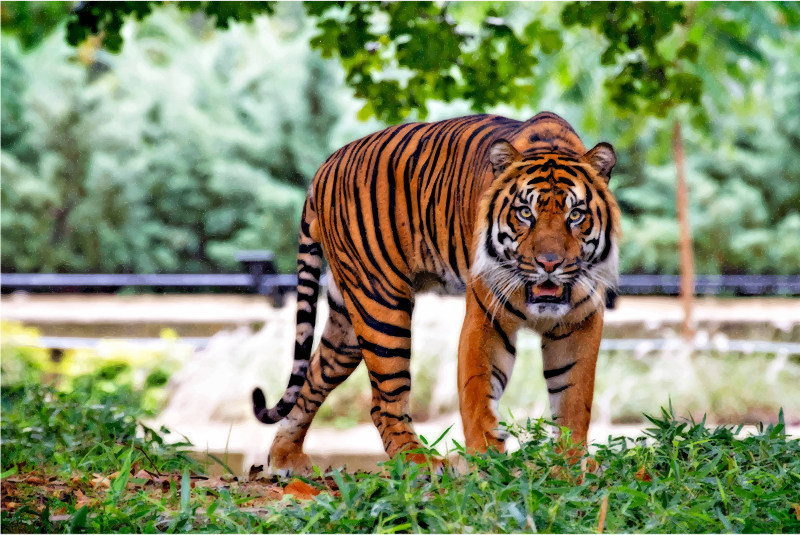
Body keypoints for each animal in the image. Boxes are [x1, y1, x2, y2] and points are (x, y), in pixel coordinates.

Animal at [250, 111, 620, 476]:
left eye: (576, 215)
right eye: (525, 213)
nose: (549, 263)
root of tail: (325, 165)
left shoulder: (580, 323)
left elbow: (574, 400)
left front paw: (569, 465)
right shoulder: (486, 319)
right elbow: (478, 394)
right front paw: (487, 466)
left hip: (347, 324)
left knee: (313, 377)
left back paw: (285, 457)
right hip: (381, 305)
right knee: (383, 402)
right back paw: (420, 463)